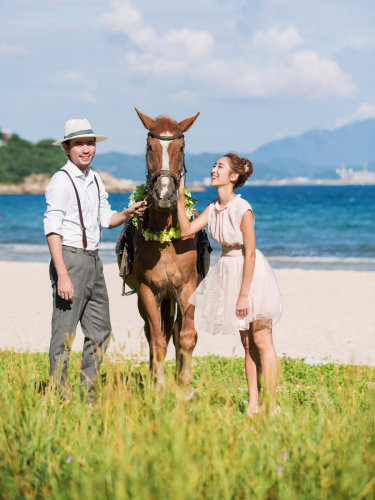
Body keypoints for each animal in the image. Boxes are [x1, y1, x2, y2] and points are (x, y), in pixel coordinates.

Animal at [126, 107, 204, 396]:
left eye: (181, 148)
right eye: (149, 147)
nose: (165, 194)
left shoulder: (188, 286)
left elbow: (187, 336)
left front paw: (186, 385)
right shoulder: (148, 291)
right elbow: (157, 340)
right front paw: (158, 386)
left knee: (176, 330)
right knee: (153, 333)